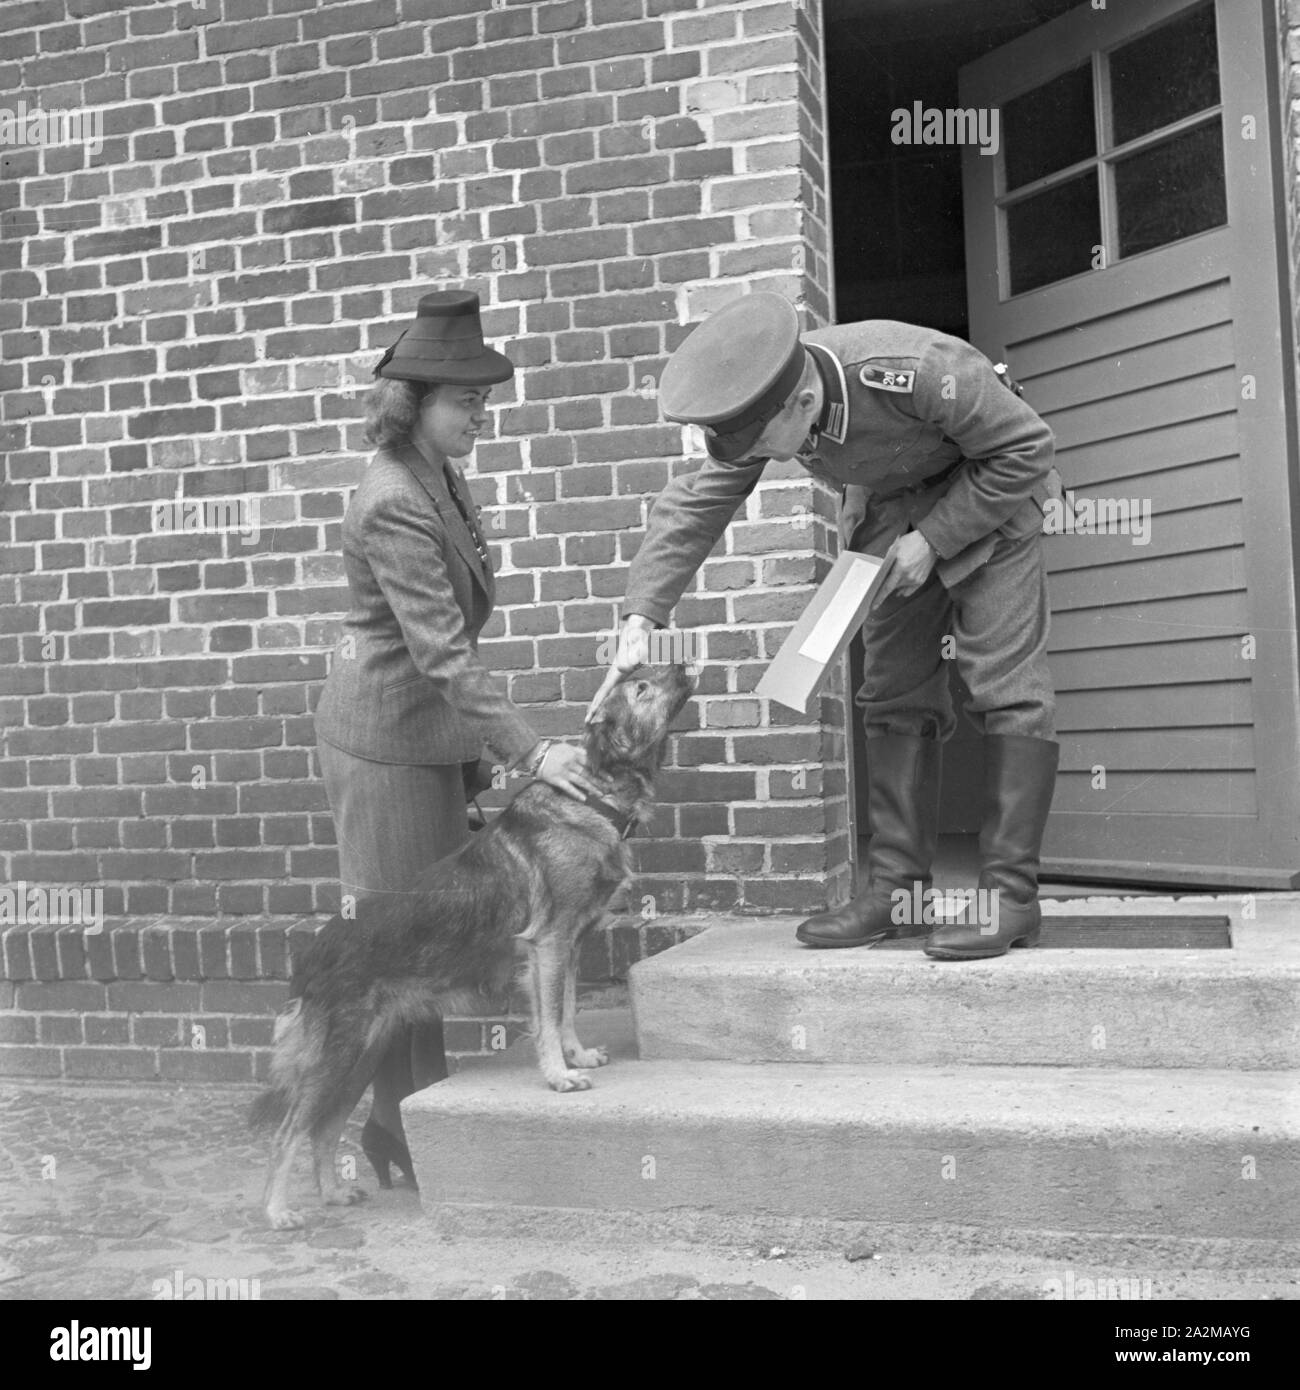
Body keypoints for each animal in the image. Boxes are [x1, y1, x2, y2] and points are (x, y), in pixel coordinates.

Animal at [250, 661, 695, 1228]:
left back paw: (332, 1192)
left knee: (323, 1129)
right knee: (289, 1131)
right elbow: (549, 1020)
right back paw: (278, 1210)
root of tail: (307, 959)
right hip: (337, 1054)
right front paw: (558, 1076)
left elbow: (567, 1010)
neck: (591, 796)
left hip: (362, 1054)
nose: (682, 664)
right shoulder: (548, 943)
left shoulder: (571, 943)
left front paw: (577, 1055)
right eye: (640, 688)